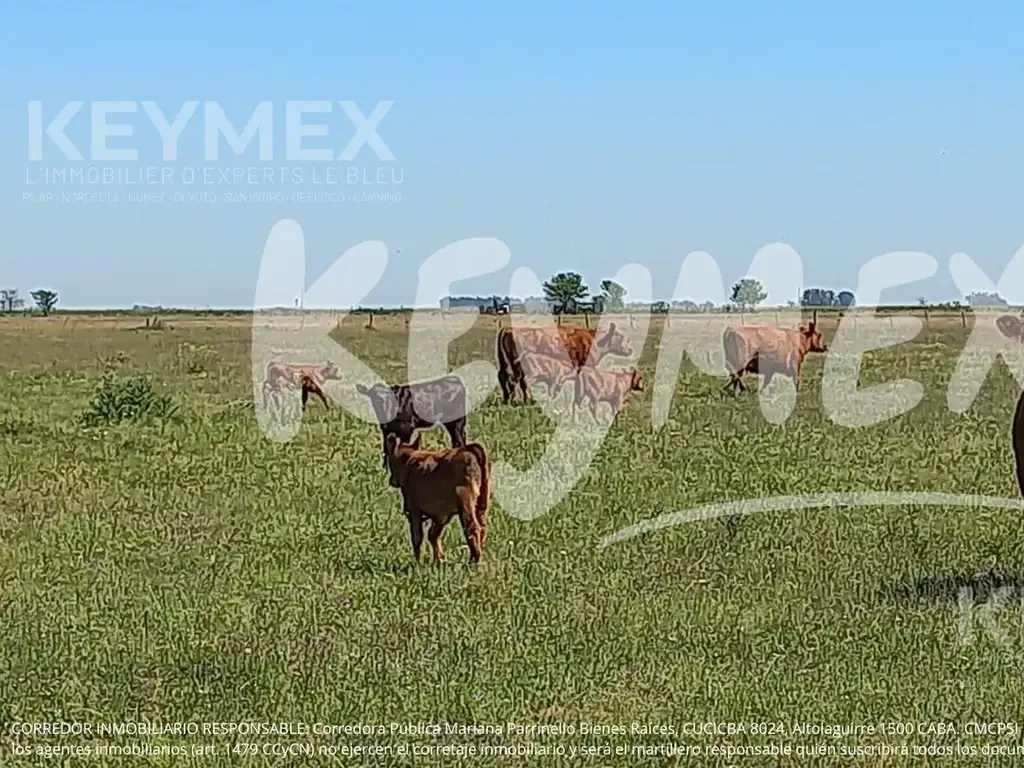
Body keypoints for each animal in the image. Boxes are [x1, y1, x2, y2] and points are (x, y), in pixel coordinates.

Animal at [385, 434, 493, 565]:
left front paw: (418, 563)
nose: (392, 481)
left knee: (472, 527)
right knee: (482, 527)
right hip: (482, 504)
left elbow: (417, 537)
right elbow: (433, 534)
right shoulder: (442, 514)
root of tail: (470, 449)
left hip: (466, 502)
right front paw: (439, 560)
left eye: (390, 460)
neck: (411, 460)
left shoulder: (414, 509)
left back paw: (473, 560)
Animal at [495, 321, 630, 405]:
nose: (630, 349)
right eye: (621, 337)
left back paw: (508, 399)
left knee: (504, 377)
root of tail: (509, 329)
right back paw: (522, 400)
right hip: (518, 365)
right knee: (517, 381)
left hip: (507, 363)